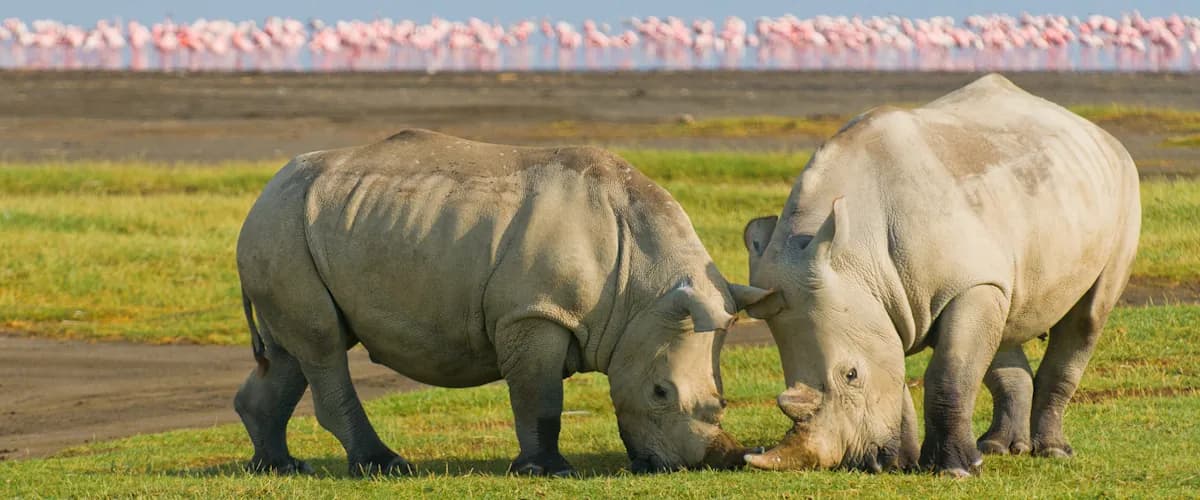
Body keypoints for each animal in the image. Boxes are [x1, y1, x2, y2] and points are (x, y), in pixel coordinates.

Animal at [233, 130, 772, 477]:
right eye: (661, 392)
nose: (707, 463)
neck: (642, 288)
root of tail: (264, 191)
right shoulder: (534, 312)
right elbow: (540, 396)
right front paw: (549, 471)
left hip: (299, 227)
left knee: (292, 351)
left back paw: (280, 467)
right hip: (282, 225)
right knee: (322, 345)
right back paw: (384, 467)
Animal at [739, 74, 1140, 476]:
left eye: (850, 374)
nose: (863, 463)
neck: (855, 252)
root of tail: (1095, 131)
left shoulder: (966, 285)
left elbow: (949, 373)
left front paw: (953, 470)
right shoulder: (880, 302)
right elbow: (897, 370)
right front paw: (905, 462)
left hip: (1123, 184)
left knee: (1087, 318)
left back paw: (1052, 451)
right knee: (1005, 318)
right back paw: (998, 447)